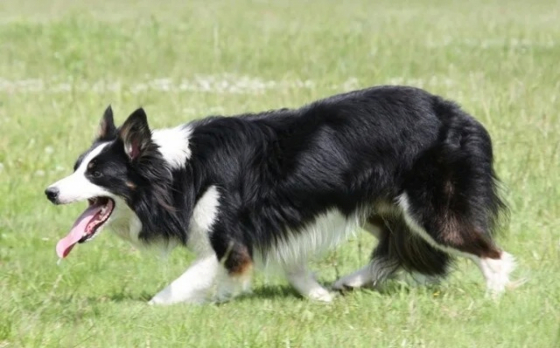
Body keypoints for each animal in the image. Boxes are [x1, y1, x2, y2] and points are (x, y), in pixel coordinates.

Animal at [46, 85, 516, 304]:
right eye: (77, 166)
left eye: (96, 172)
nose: (49, 192)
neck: (177, 172)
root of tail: (461, 114)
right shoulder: (275, 225)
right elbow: (292, 264)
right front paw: (318, 296)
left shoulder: (228, 239)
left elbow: (178, 288)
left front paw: (158, 307)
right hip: (376, 203)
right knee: (403, 247)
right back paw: (347, 282)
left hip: (431, 207)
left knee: (489, 253)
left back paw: (493, 298)